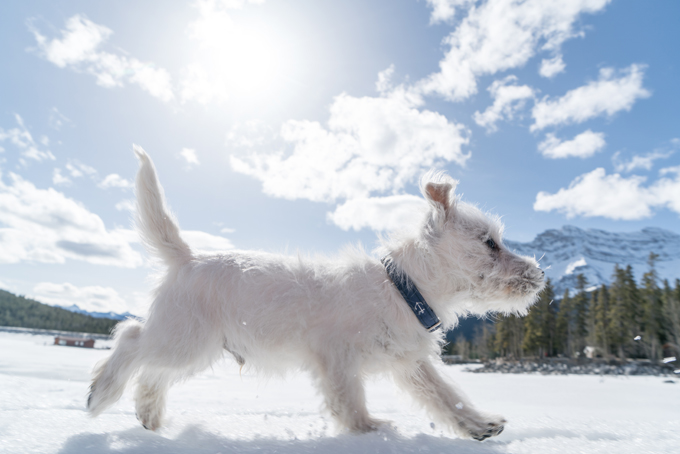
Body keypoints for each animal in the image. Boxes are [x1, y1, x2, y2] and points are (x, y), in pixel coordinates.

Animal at [87, 147, 544, 442]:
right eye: (490, 243)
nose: (539, 273)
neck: (403, 288)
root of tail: (187, 257)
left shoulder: (410, 363)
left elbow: (448, 397)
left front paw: (479, 425)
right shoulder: (338, 359)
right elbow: (352, 405)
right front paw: (373, 432)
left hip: (194, 348)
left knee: (151, 374)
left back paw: (149, 420)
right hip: (184, 340)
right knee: (130, 340)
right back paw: (101, 393)